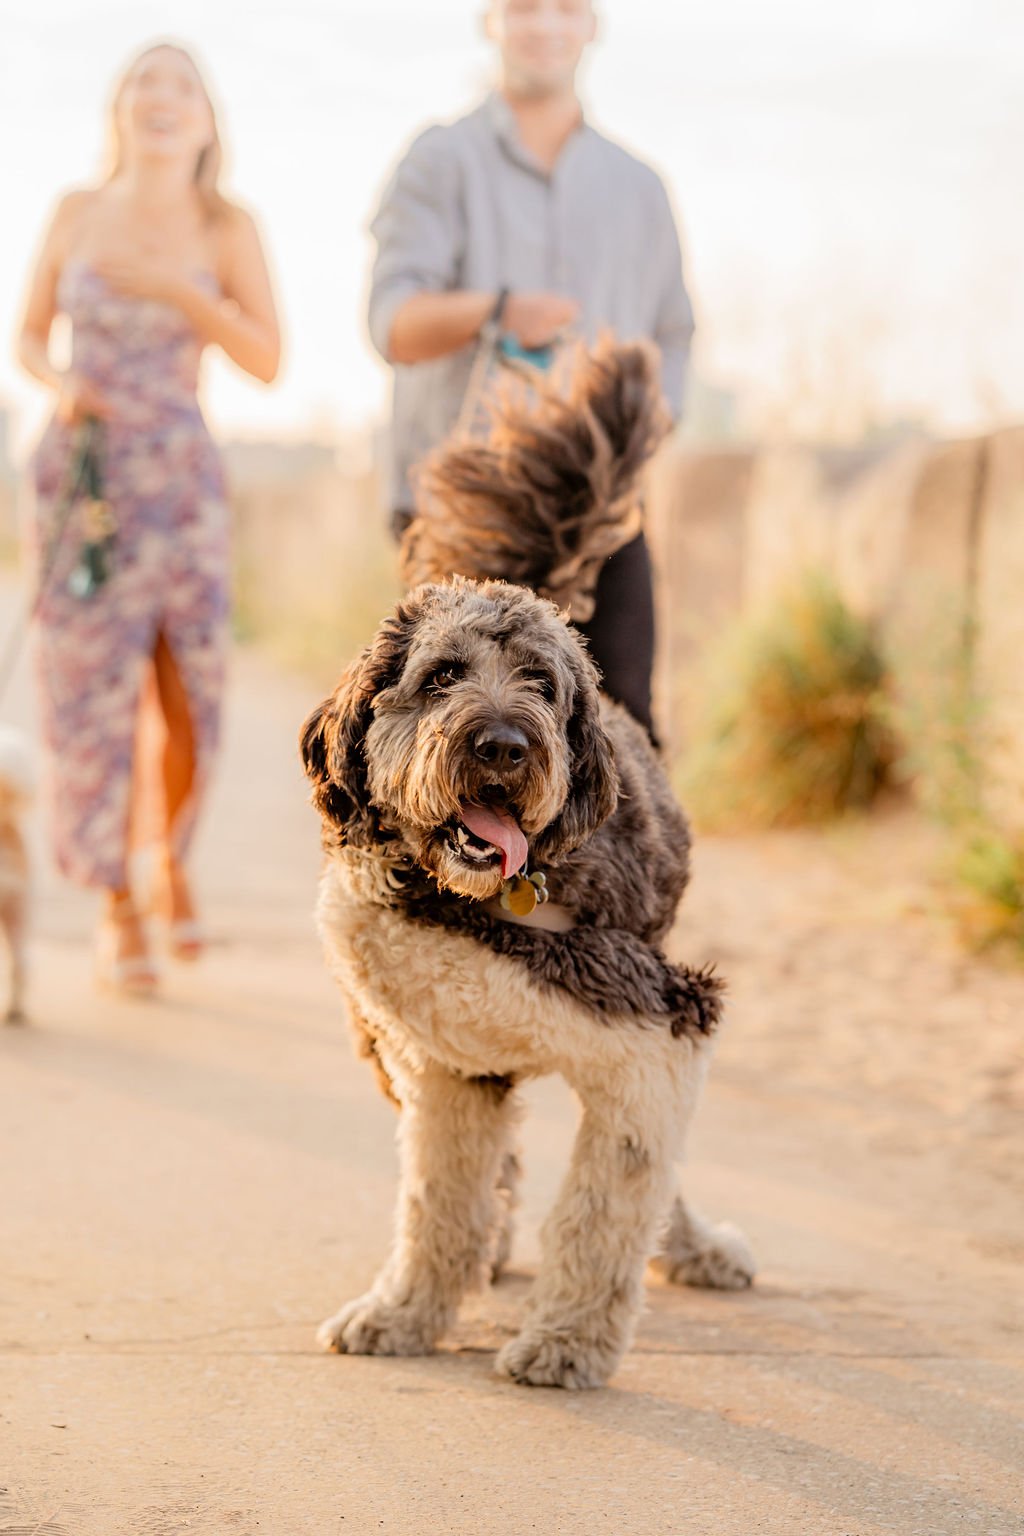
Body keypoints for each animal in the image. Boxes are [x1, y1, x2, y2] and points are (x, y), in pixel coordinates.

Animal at [300, 342, 758, 1388]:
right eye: (440, 676)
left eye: (544, 686)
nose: (505, 746)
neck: (480, 902)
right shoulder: (443, 1067)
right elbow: (439, 1200)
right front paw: (409, 1312)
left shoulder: (655, 1027)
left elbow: (604, 1208)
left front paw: (566, 1341)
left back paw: (694, 1248)